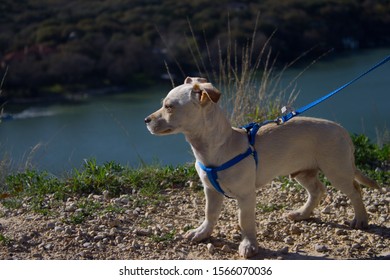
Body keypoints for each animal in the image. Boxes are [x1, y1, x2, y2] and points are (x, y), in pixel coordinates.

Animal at [145, 76, 380, 258]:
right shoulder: (211, 190)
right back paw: (302, 214)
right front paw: (202, 233)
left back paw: (361, 219)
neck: (215, 146)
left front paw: (249, 245)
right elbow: (209, 214)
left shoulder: (246, 195)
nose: (146, 120)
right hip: (302, 172)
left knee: (354, 191)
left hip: (336, 170)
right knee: (317, 190)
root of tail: (342, 130)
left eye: (169, 106)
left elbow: (245, 221)